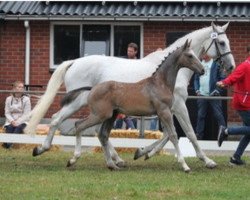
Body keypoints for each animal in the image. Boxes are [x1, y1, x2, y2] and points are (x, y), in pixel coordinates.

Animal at [24, 21, 234, 169]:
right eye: (221, 42)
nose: (231, 66)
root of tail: (74, 62)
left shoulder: (167, 109)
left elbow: (168, 135)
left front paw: (143, 152)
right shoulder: (178, 106)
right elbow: (188, 133)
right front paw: (207, 161)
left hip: (103, 110)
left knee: (96, 131)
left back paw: (116, 160)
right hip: (79, 102)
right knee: (57, 119)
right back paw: (42, 149)